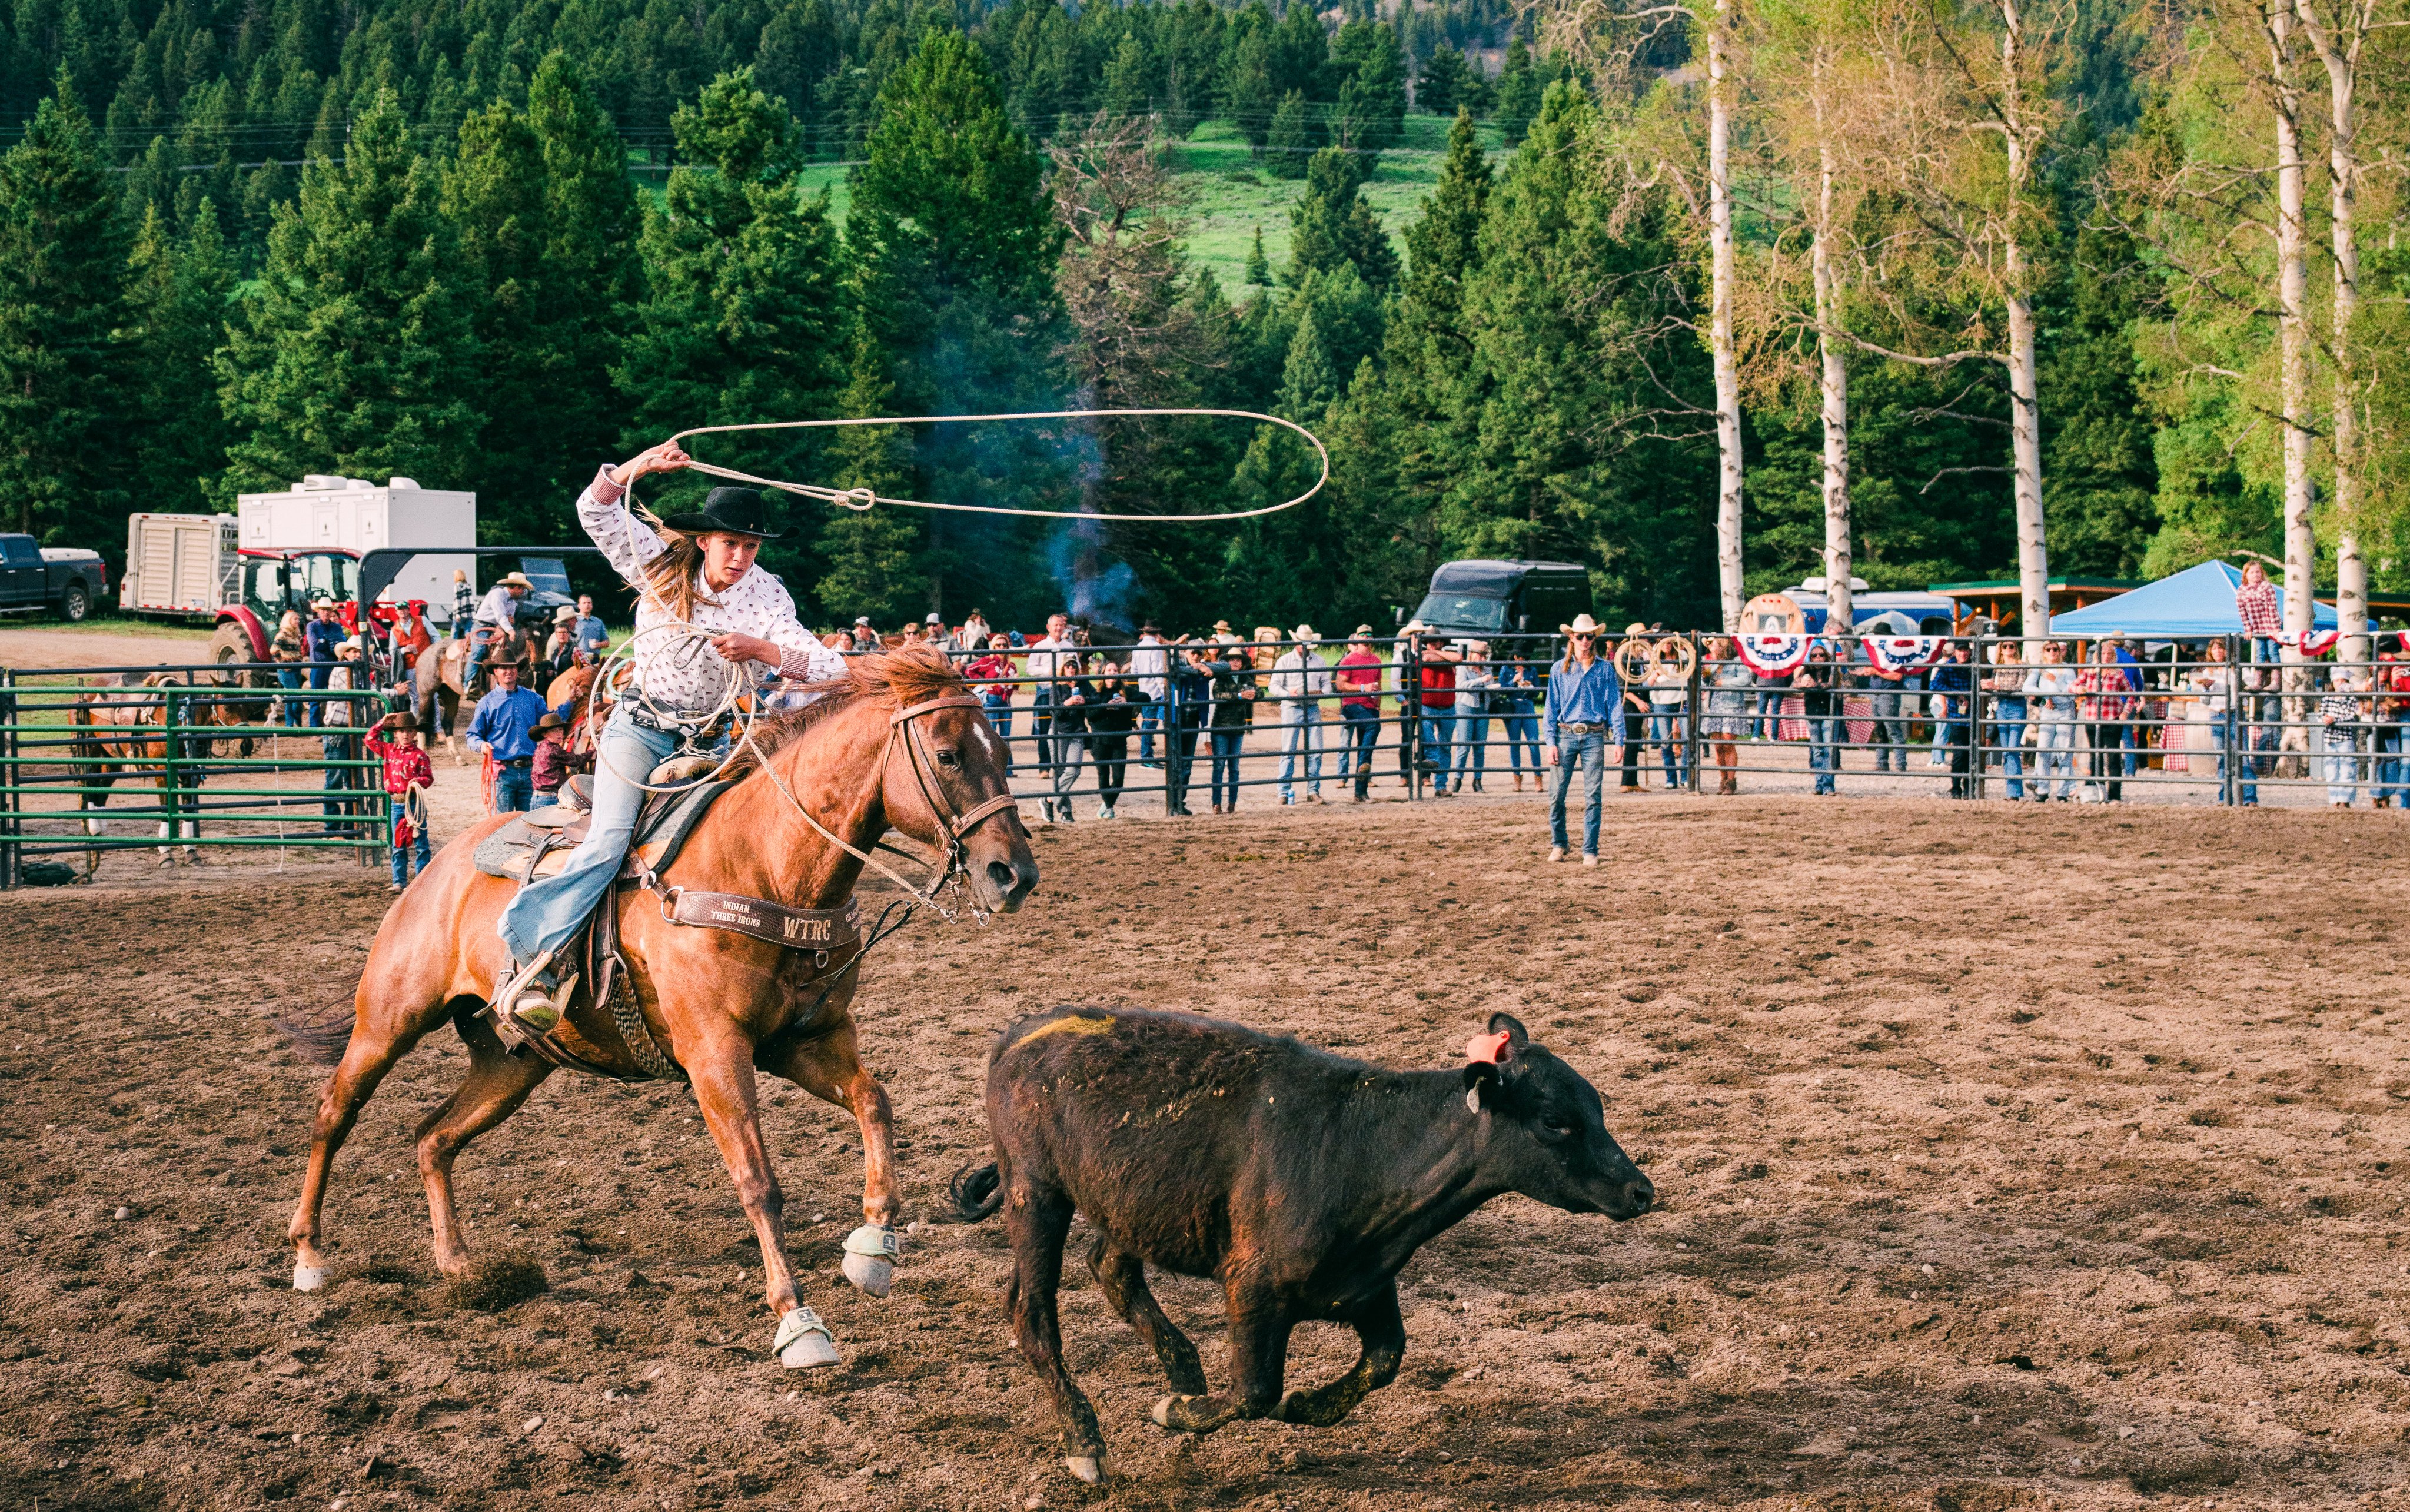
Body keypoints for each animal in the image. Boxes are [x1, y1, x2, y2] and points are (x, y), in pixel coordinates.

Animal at [277, 646, 1041, 1370]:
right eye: (948, 754)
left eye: (1006, 754)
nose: (1016, 874)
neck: (763, 863)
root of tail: (439, 866)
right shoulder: (714, 1053)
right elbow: (758, 1182)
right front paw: (799, 1322)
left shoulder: (809, 1039)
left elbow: (876, 1104)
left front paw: (872, 1251)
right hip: (389, 1021)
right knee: (333, 1113)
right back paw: (310, 1256)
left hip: (512, 1063)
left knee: (433, 1138)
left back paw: (461, 1264)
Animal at [945, 998, 1658, 1485]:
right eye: (1555, 1120)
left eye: (1597, 1107)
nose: (1641, 1190)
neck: (1359, 1148)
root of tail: (1021, 1034)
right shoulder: (1253, 1288)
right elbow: (1255, 1391)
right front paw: (1175, 1412)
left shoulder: (1367, 1285)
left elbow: (1383, 1361)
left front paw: (1302, 1403)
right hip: (1036, 1195)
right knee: (1033, 1315)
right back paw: (1086, 1443)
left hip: (1131, 1203)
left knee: (1111, 1267)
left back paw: (1184, 1371)